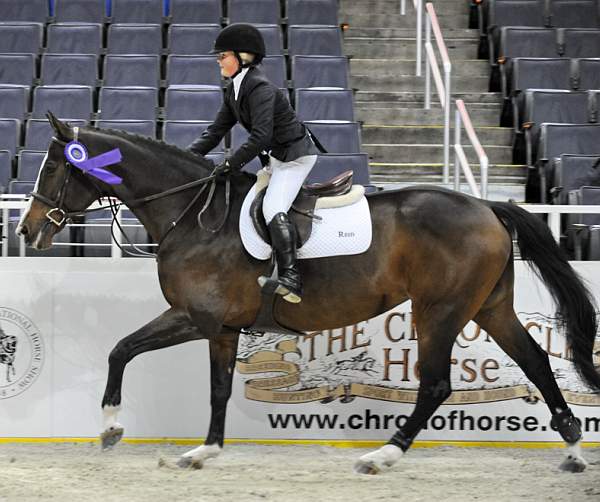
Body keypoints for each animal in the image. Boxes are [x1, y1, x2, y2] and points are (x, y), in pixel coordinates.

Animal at [15, 113, 600, 474]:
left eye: (56, 166)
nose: (27, 230)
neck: (193, 214)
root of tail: (486, 206)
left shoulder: (207, 321)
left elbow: (199, 382)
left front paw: (187, 448)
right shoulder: (201, 320)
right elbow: (136, 355)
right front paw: (127, 431)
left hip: (440, 311)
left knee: (436, 385)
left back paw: (383, 456)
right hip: (490, 307)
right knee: (536, 363)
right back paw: (573, 449)